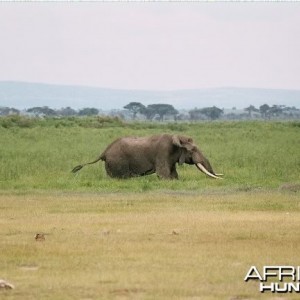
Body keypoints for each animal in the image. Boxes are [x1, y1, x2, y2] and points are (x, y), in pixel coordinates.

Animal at [72, 134, 223, 180]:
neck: (177, 137)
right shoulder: (162, 152)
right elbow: (163, 175)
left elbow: (173, 174)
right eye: (193, 150)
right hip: (117, 162)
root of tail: (104, 152)